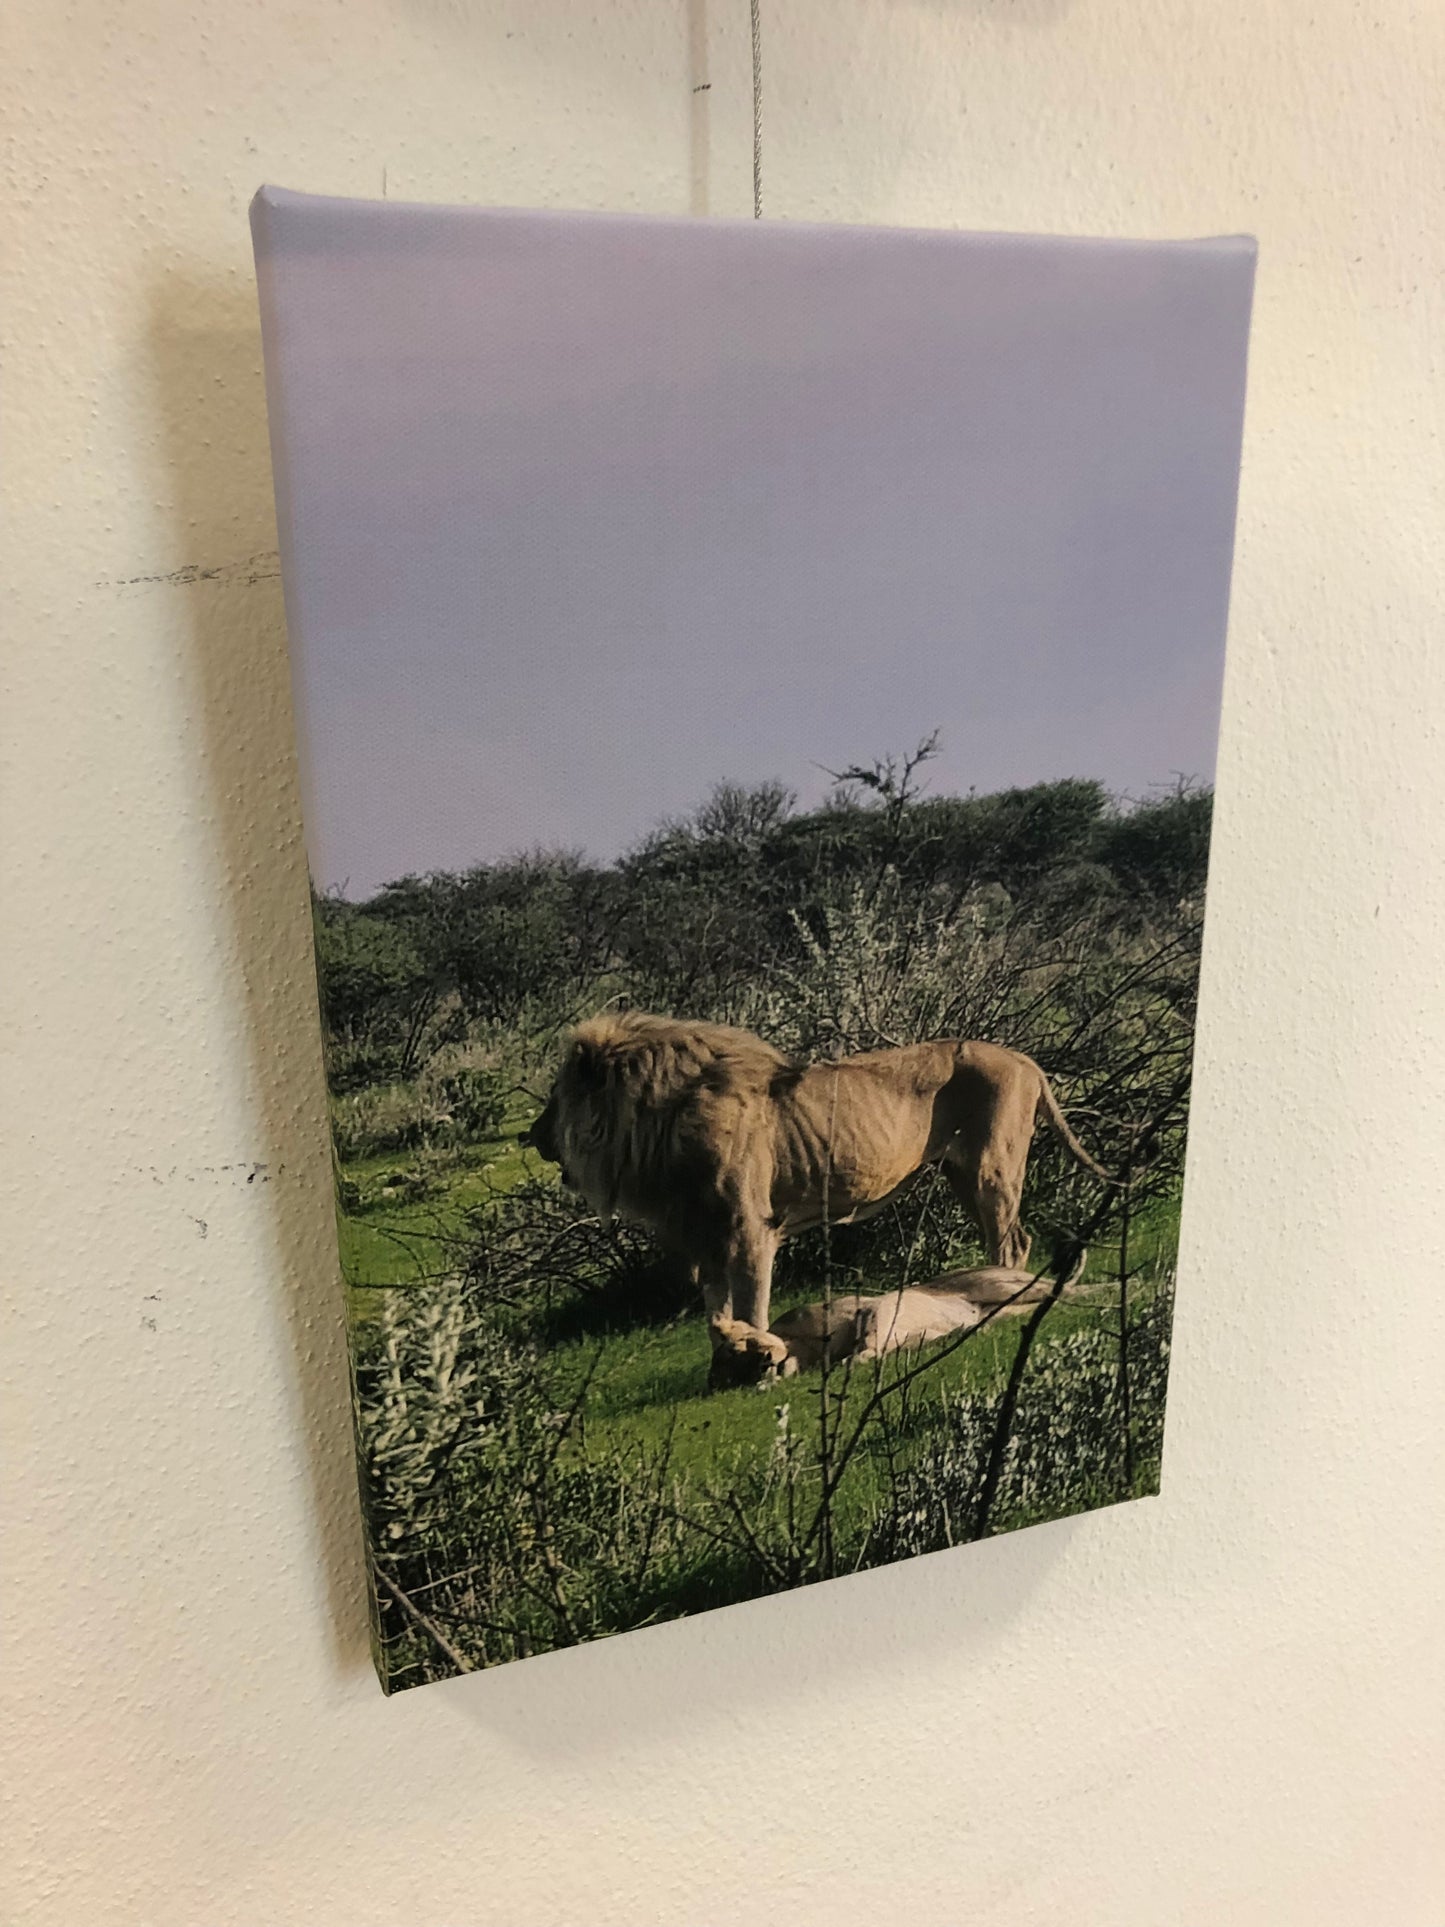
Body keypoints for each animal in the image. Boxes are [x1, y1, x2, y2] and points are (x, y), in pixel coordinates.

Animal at [524, 1009, 1109, 1387]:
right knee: (1013, 1239)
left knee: (1011, 1244)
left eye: (555, 1099)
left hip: (992, 1169)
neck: (657, 1129)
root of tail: (1023, 1058)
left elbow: (752, 1304)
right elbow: (715, 1311)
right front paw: (729, 1358)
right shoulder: (704, 1238)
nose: (531, 1135)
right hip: (961, 1173)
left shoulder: (750, 1229)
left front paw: (757, 1358)